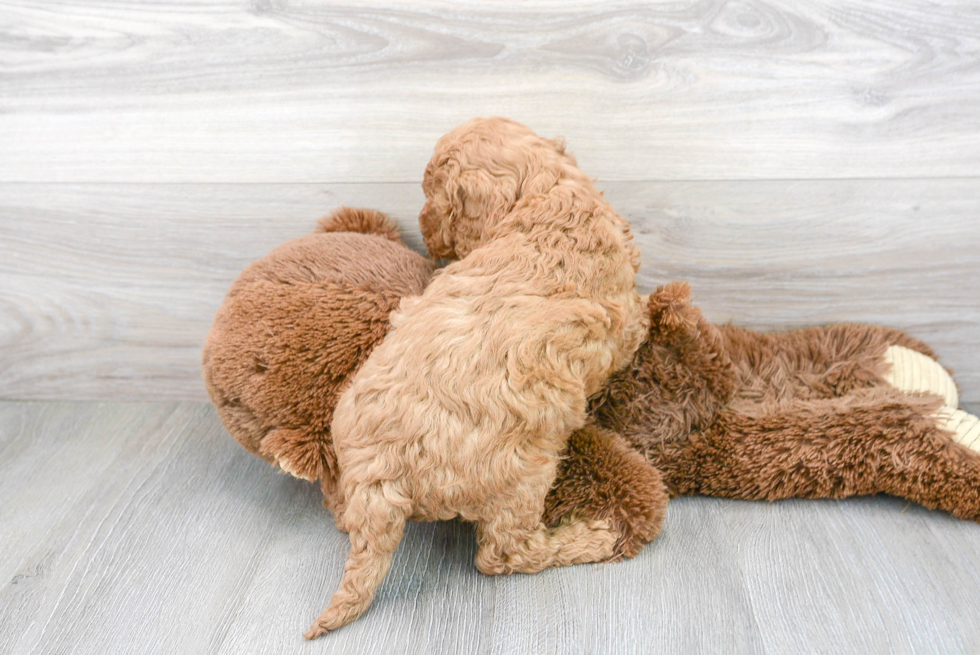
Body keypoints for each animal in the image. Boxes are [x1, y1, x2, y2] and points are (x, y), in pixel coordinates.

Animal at [302, 118, 648, 640]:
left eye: (433, 195)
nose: (422, 227)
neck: (546, 192)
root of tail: (381, 475)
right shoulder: (620, 324)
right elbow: (633, 333)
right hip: (525, 472)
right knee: (505, 554)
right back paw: (591, 538)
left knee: (343, 514)